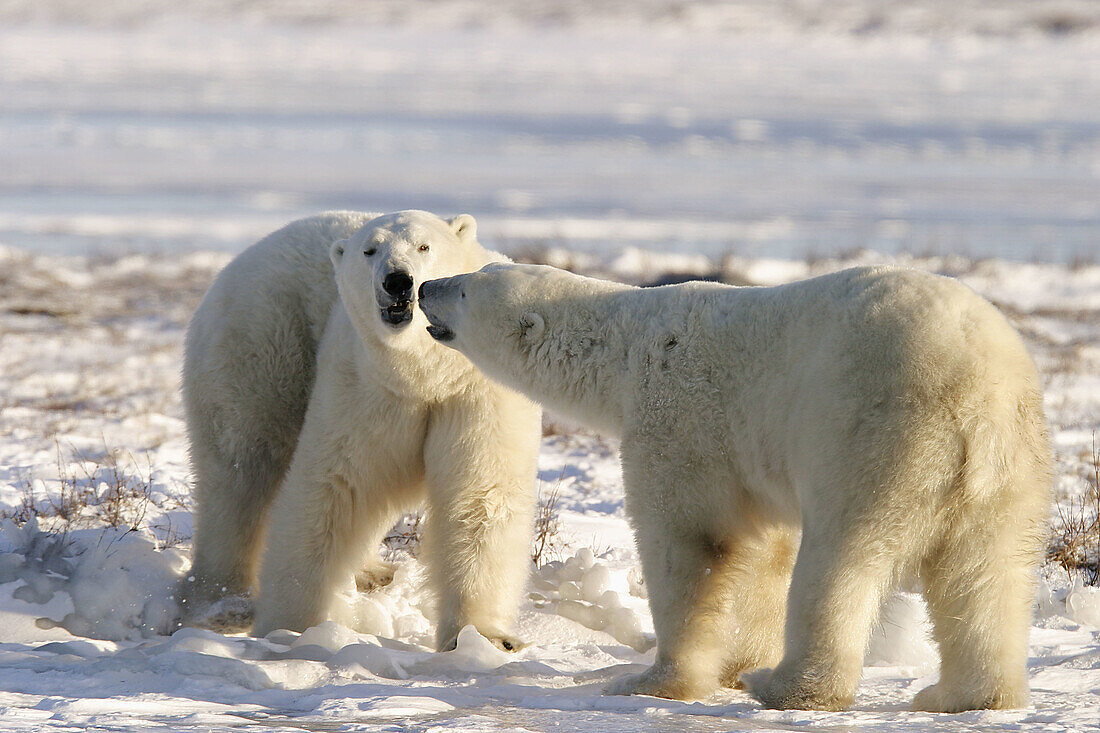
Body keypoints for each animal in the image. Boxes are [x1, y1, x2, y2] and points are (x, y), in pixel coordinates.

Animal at [177, 208, 541, 647]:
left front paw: (484, 637)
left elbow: (480, 494)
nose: (398, 280)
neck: (425, 372)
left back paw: (371, 571)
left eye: (424, 246)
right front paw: (289, 627)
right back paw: (220, 602)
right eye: (370, 250)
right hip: (263, 344)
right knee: (240, 472)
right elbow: (335, 487)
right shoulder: (364, 383)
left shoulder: (476, 390)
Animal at [415, 260, 1051, 708]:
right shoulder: (751, 460)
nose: (423, 288)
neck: (625, 347)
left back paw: (787, 686)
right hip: (1012, 466)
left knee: (842, 560)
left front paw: (654, 680)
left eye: (466, 287)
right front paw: (737, 660)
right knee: (987, 573)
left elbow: (690, 543)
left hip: (876, 437)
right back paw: (963, 695)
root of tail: (977, 393)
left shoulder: (677, 421)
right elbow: (765, 551)